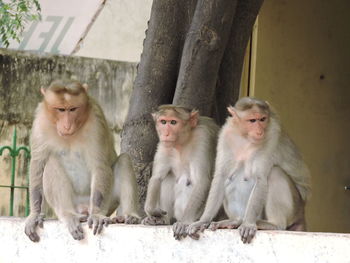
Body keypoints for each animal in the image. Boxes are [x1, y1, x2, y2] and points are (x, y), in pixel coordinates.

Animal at [24, 80, 141, 243]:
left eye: (73, 109)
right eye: (61, 109)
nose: (67, 125)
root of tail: (84, 208)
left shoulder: (96, 121)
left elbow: (99, 165)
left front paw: (97, 214)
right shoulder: (40, 122)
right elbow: (38, 163)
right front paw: (34, 214)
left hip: (109, 202)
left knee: (124, 160)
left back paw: (129, 215)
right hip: (73, 204)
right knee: (51, 162)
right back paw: (69, 214)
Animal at [142, 105, 219, 241]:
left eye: (173, 122)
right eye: (163, 122)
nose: (166, 134)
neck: (182, 142)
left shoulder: (203, 138)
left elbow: (202, 181)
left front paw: (184, 222)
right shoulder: (164, 144)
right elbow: (157, 178)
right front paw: (152, 211)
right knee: (167, 177)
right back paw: (163, 220)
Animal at [187, 98, 310, 244]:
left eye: (263, 119)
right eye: (252, 120)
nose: (260, 131)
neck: (244, 137)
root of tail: (302, 214)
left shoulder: (272, 135)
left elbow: (260, 179)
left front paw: (248, 223)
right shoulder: (226, 135)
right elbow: (221, 176)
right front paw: (203, 220)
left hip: (295, 209)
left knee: (275, 173)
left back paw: (272, 224)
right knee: (230, 178)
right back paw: (235, 221)